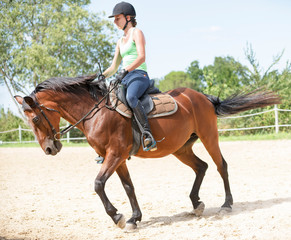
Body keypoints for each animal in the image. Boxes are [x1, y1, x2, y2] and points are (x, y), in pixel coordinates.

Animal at [15, 74, 280, 230]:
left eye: (36, 118)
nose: (49, 149)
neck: (97, 111)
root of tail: (202, 97)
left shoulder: (114, 155)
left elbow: (98, 185)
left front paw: (118, 217)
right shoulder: (119, 158)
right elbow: (128, 187)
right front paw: (134, 217)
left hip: (209, 137)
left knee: (220, 166)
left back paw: (226, 204)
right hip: (181, 148)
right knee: (201, 167)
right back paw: (196, 203)